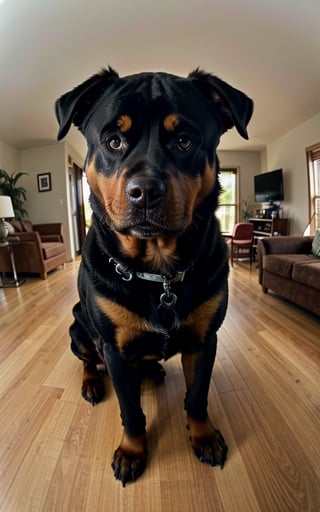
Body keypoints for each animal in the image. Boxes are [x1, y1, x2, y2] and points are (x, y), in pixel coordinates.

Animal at [56, 67, 254, 484]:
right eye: (113, 140)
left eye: (184, 140)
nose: (144, 191)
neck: (158, 269)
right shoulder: (113, 348)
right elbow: (131, 411)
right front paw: (132, 452)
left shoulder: (205, 340)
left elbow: (197, 397)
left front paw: (204, 437)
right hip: (78, 326)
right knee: (87, 359)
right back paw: (92, 383)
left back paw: (151, 368)